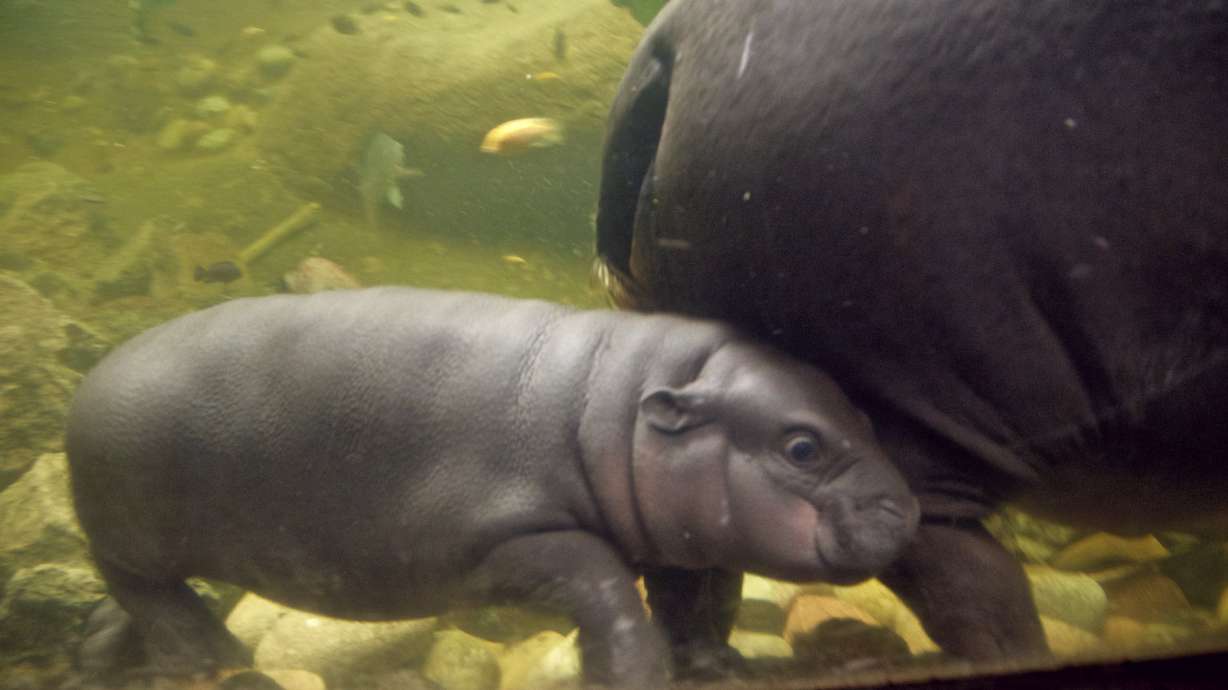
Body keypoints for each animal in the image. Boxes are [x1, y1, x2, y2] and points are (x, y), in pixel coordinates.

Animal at [65, 286, 919, 687]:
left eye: (863, 411)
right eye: (801, 446)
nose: (905, 508)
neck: (621, 409)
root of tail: (93, 379)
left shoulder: (681, 540)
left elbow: (693, 603)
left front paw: (718, 668)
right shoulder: (516, 542)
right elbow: (609, 591)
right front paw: (632, 676)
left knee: (129, 604)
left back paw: (101, 655)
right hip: (130, 536)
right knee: (151, 595)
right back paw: (213, 659)